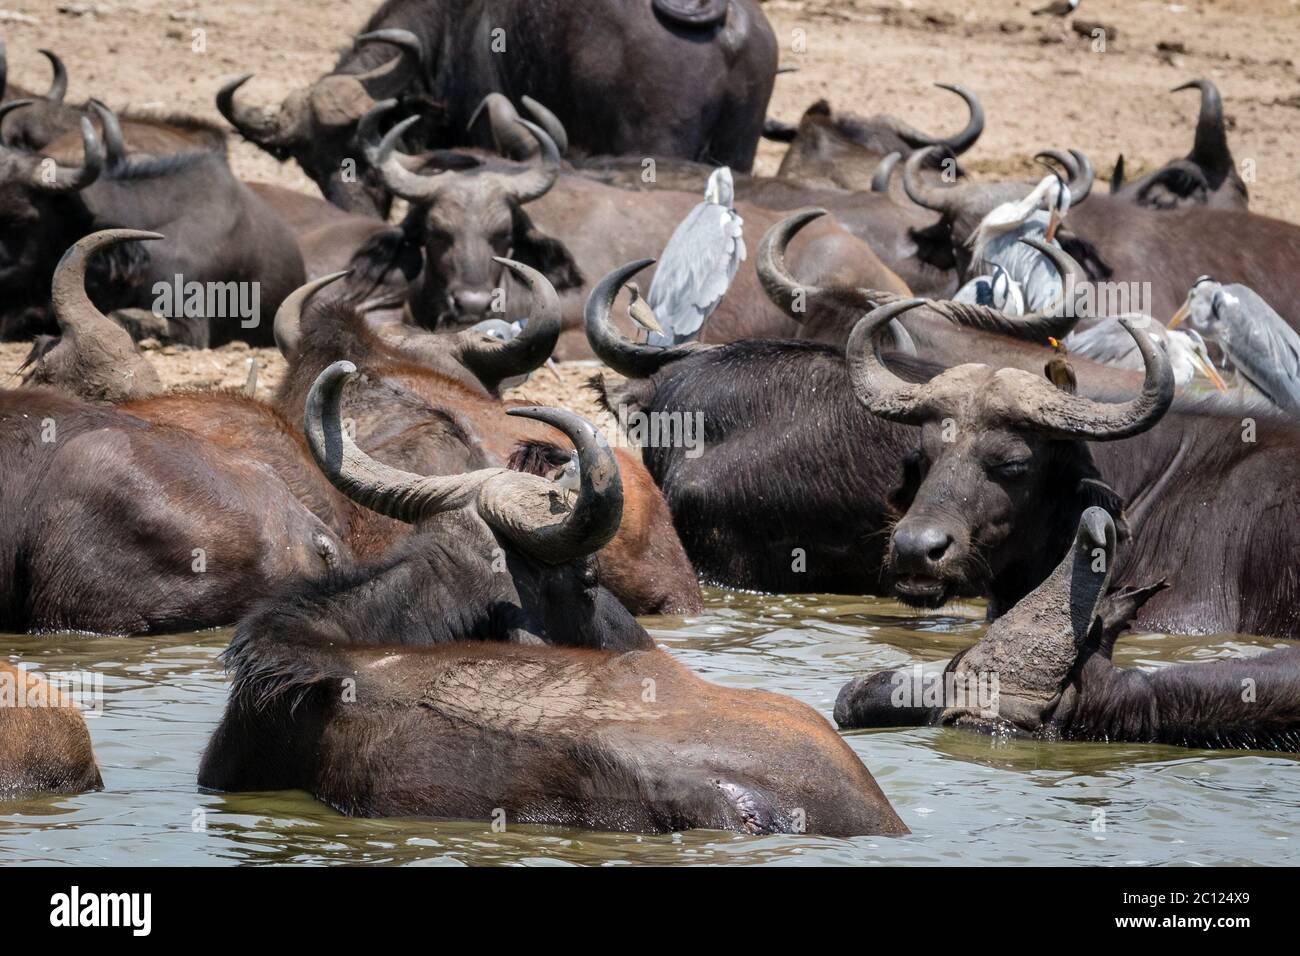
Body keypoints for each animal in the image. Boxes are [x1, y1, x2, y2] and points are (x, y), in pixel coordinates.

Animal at [218, 0, 774, 215]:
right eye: (310, 165)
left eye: (362, 149)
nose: (354, 213)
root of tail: (725, 19)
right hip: (739, 146)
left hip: (655, 143)